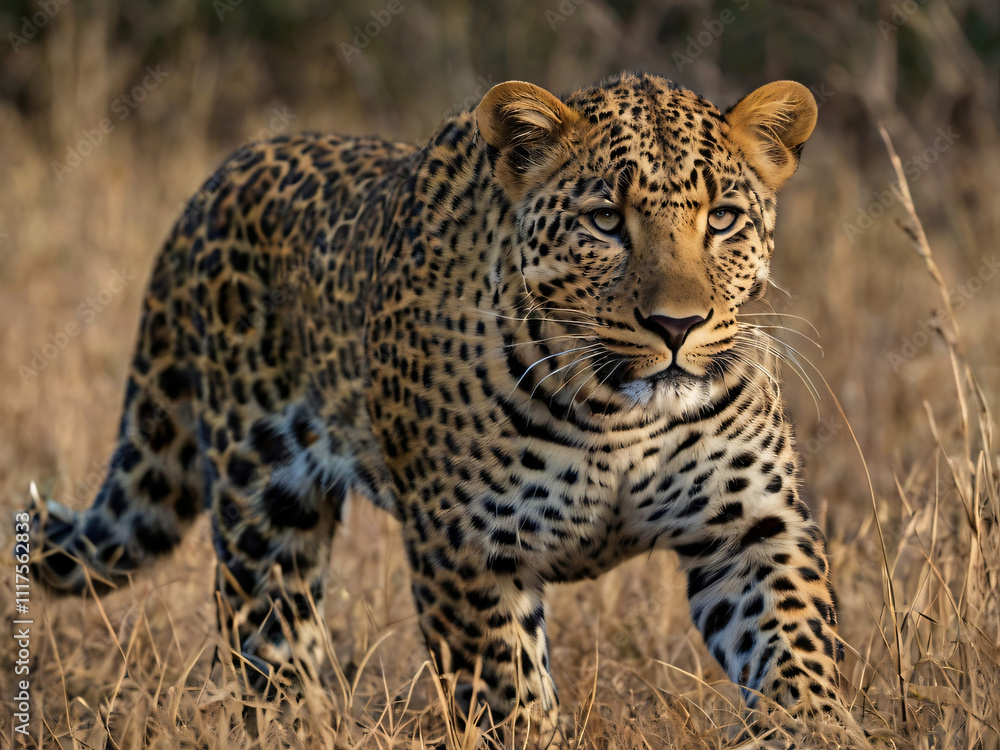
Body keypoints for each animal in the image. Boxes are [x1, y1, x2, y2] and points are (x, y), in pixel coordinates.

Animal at [30, 72, 855, 743]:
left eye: (722, 219)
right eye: (604, 221)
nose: (677, 326)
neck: (619, 415)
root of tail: (221, 176)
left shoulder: (752, 525)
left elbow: (796, 643)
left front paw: (814, 729)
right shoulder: (466, 551)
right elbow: (510, 694)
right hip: (259, 500)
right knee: (267, 641)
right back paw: (301, 727)